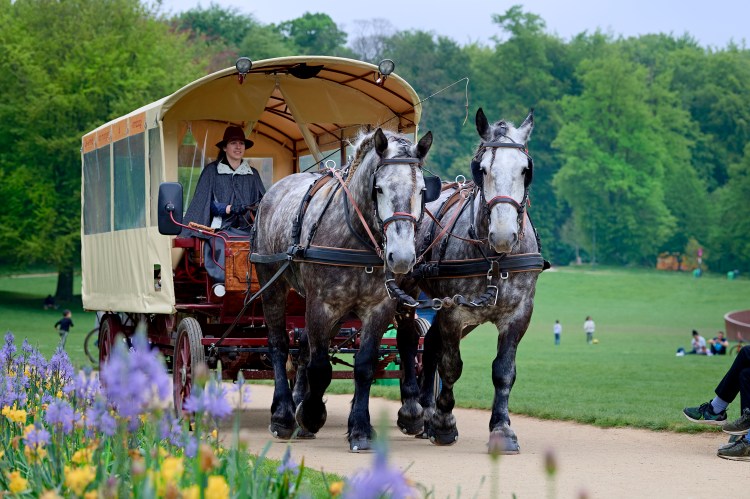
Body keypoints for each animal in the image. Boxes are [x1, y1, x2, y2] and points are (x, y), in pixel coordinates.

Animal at [252, 128, 435, 452]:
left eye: (422, 191)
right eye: (379, 189)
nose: (401, 257)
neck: (357, 237)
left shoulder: (379, 307)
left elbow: (364, 365)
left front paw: (360, 428)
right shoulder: (321, 304)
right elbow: (321, 367)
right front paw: (311, 414)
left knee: (305, 348)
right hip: (272, 285)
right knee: (279, 345)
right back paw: (284, 414)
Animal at [397, 108, 546, 454]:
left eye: (526, 170)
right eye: (481, 170)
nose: (504, 235)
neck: (495, 259)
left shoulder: (518, 314)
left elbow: (503, 371)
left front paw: (502, 429)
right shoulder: (455, 310)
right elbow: (452, 365)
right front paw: (444, 422)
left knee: (431, 344)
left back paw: (427, 410)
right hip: (407, 293)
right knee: (409, 341)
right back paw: (414, 411)